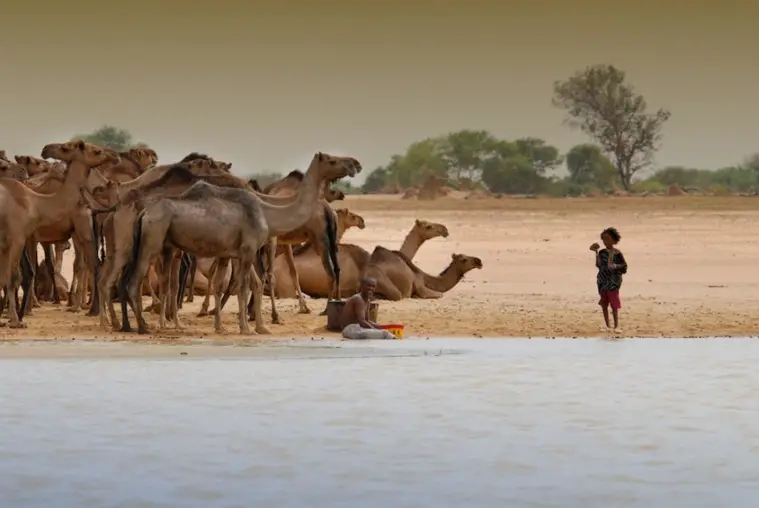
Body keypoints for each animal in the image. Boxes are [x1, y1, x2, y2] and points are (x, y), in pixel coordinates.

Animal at [0, 141, 117, 328]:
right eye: (97, 151)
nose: (115, 155)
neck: (36, 204)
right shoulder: (17, 239)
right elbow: (12, 277)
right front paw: (16, 320)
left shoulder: (12, 241)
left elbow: (8, 277)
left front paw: (13, 318)